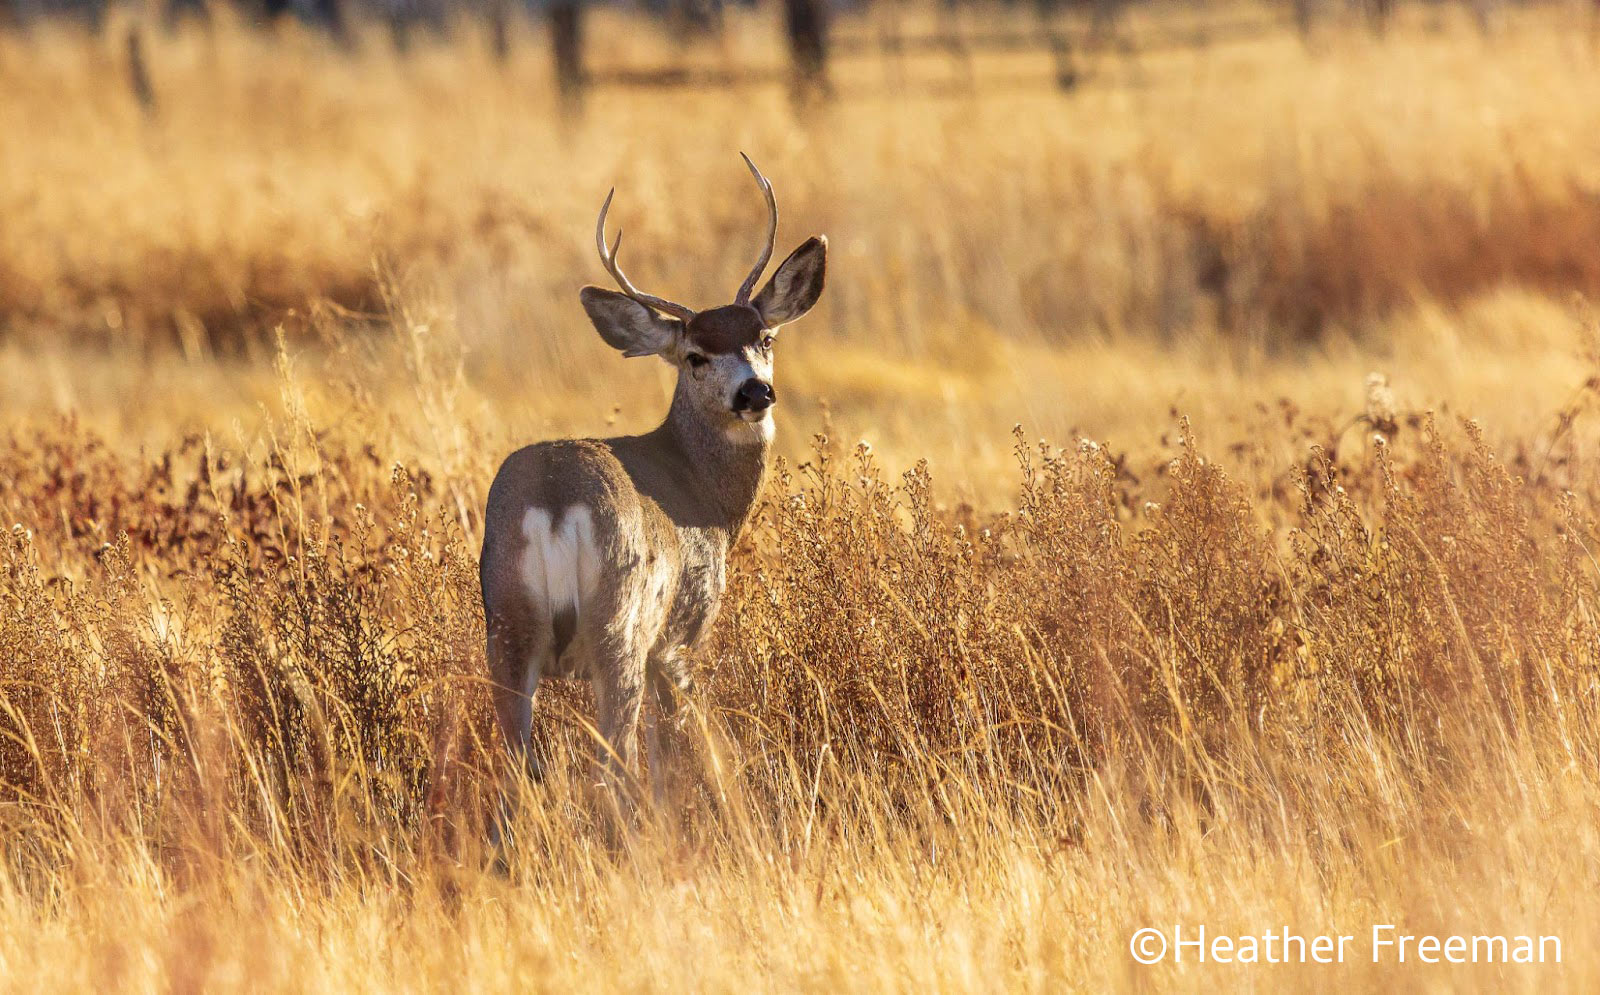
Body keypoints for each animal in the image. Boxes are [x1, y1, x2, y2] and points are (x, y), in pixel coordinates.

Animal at [479, 154, 826, 804]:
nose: (755, 392)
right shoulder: (682, 635)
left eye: (765, 338)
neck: (703, 497)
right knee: (613, 763)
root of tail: (554, 505)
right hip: (621, 625)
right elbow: (679, 747)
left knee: (516, 763)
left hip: (506, 624)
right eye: (694, 355)